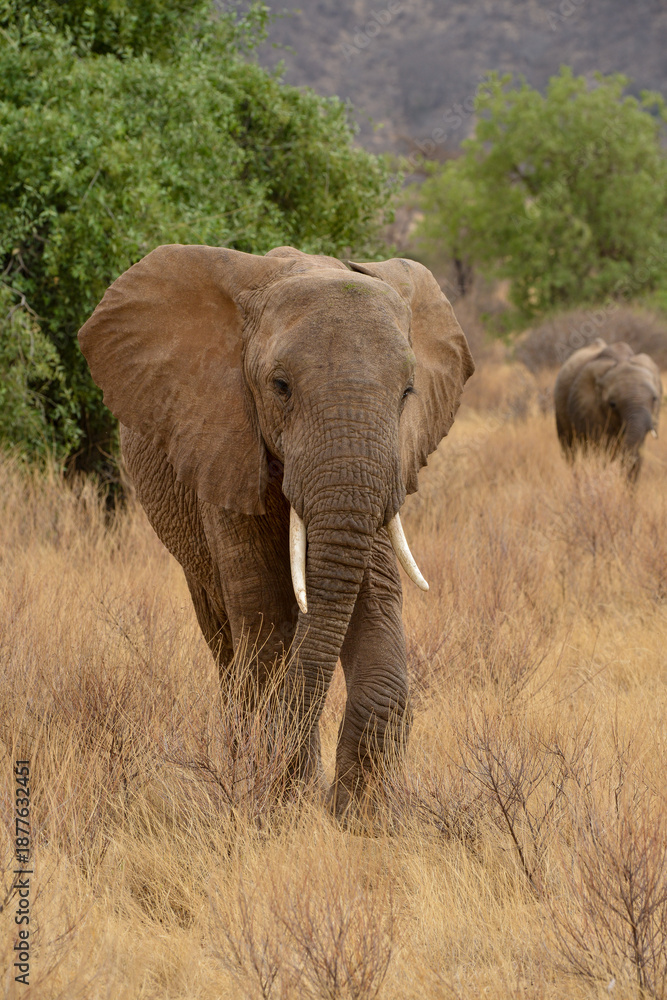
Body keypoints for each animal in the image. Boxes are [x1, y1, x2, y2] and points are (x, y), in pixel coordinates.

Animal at [78, 243, 474, 815]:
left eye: (407, 392)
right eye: (280, 387)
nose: (322, 798)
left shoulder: (384, 472)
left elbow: (374, 600)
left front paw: (358, 816)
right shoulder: (223, 442)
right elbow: (265, 615)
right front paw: (285, 803)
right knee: (226, 638)